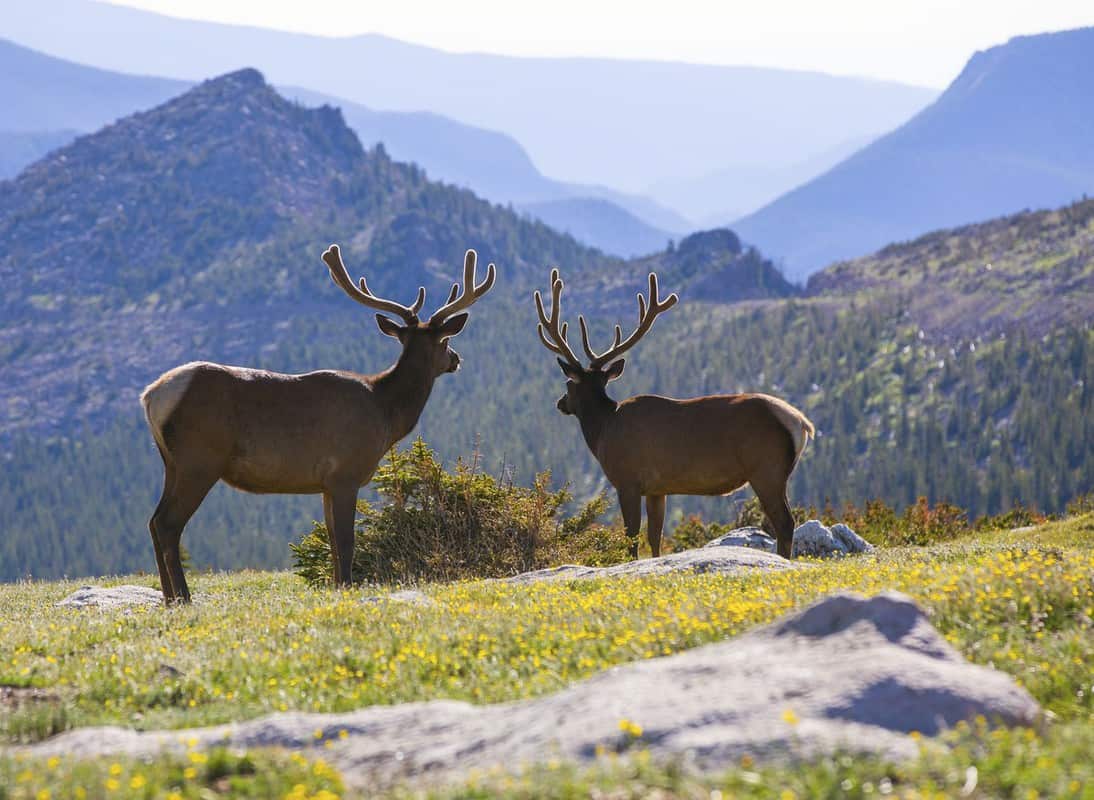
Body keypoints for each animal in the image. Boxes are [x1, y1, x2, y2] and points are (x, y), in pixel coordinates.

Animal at [141, 247, 496, 604]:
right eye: (445, 341)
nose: (456, 359)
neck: (385, 412)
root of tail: (152, 395)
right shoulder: (345, 473)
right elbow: (346, 541)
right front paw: (348, 587)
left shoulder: (325, 483)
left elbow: (333, 542)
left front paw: (338, 586)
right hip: (200, 459)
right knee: (169, 524)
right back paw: (183, 597)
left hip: (171, 462)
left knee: (154, 521)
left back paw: (168, 598)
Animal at [533, 272, 818, 560]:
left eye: (569, 383)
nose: (560, 403)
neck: (603, 430)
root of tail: (801, 423)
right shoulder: (658, 489)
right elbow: (654, 538)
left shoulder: (627, 480)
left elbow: (632, 538)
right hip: (780, 472)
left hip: (766, 468)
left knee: (785, 522)